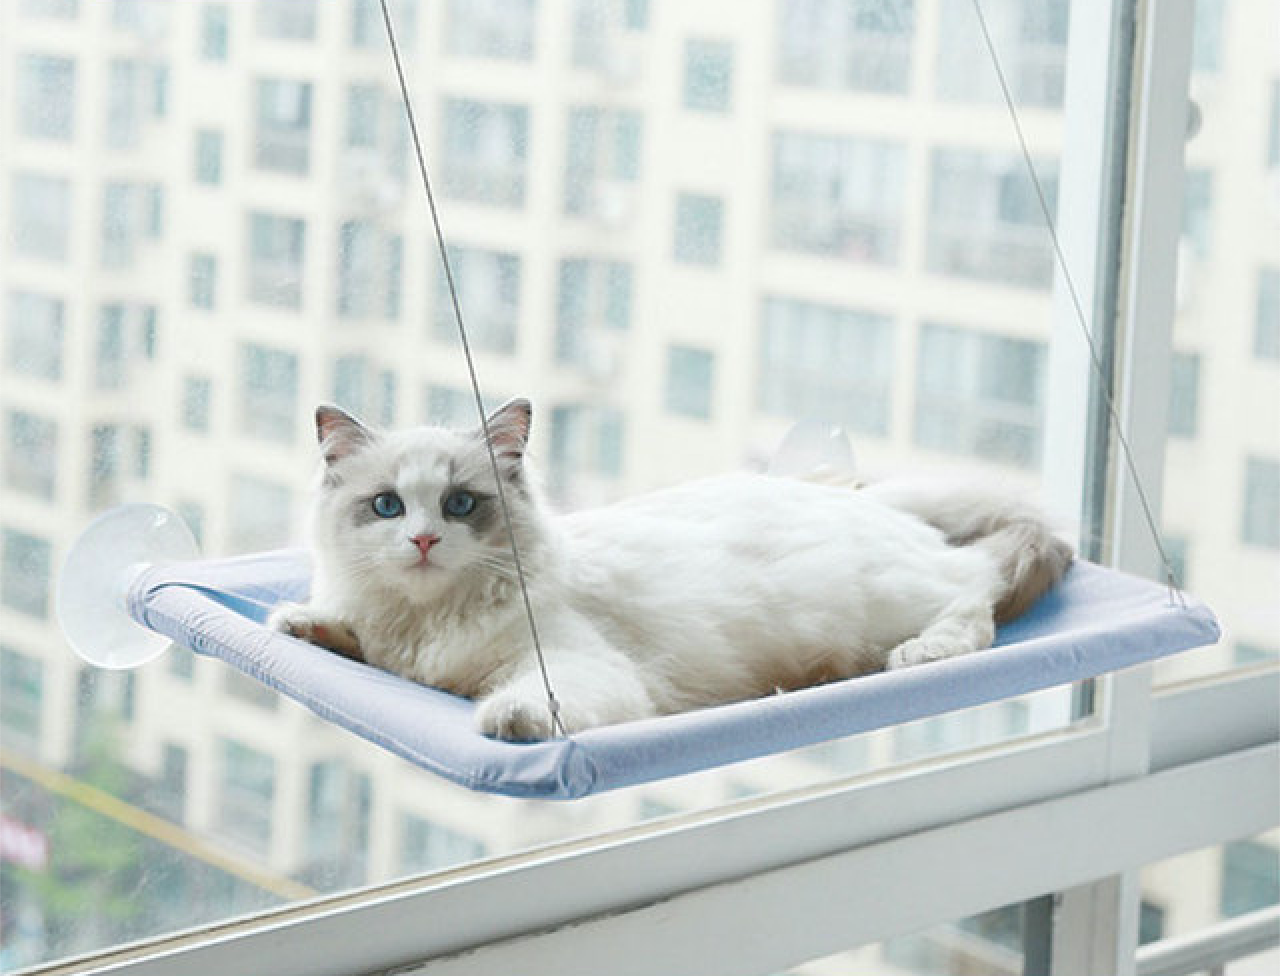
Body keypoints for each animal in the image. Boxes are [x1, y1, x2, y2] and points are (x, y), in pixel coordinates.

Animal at [270, 399, 1070, 742]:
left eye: (461, 504)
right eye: (388, 506)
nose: (424, 541)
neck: (427, 621)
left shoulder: (575, 666)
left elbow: (529, 698)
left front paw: (508, 719)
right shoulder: (391, 645)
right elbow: (351, 636)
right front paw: (302, 624)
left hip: (895, 597)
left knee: (976, 597)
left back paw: (920, 653)